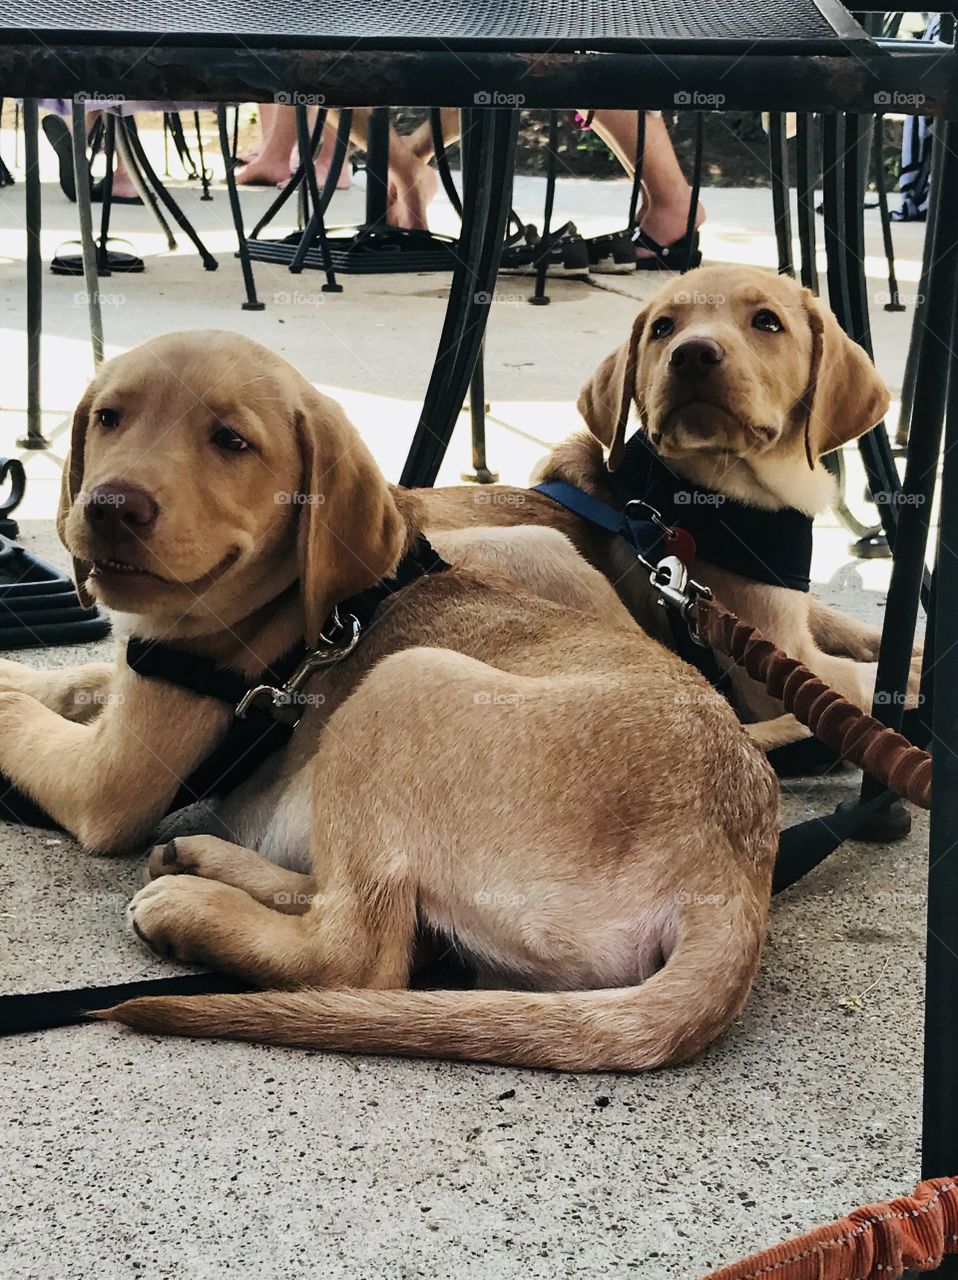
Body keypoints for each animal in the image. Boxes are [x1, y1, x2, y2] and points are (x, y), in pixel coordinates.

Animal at [0, 332, 778, 1070]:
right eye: (108, 418)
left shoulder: (107, 784)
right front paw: (22, 671)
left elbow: (23, 723)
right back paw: (204, 861)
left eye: (232, 441)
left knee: (356, 953)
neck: (304, 610)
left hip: (405, 681)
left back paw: (194, 905)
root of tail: (731, 874)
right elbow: (74, 681)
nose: (109, 507)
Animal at [417, 267, 896, 747]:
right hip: (546, 552)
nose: (693, 354)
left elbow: (842, 622)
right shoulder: (784, 662)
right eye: (662, 328)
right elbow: (872, 680)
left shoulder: (785, 605)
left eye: (768, 321)